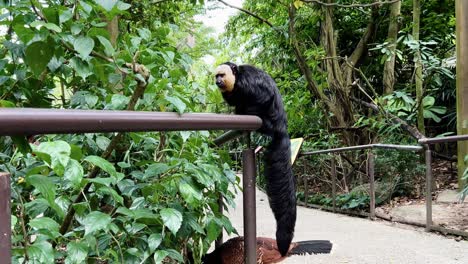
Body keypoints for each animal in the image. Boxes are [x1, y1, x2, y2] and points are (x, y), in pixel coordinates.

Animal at [213, 62, 296, 256]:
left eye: (221, 75)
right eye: (216, 76)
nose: (218, 81)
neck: (236, 81)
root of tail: (281, 126)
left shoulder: (247, 83)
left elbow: (262, 98)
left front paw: (244, 112)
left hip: (270, 122)